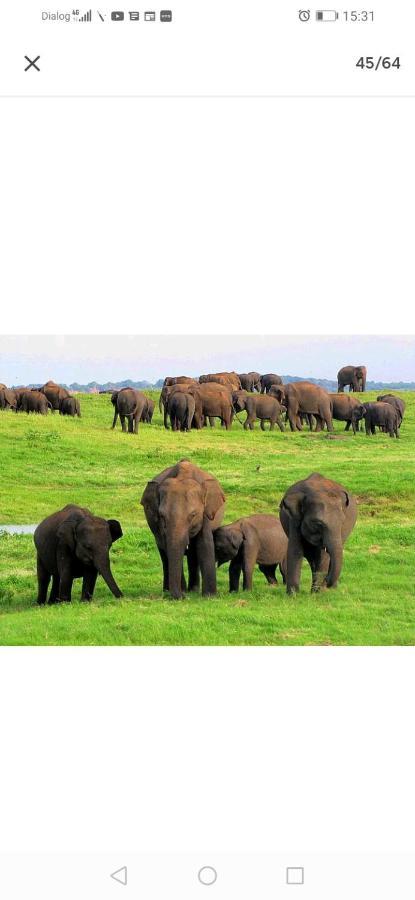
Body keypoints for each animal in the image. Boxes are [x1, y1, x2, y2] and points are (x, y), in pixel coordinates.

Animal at [143, 460, 228, 600]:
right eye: (162, 516)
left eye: (193, 515)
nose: (182, 596)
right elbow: (167, 547)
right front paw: (182, 592)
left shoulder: (205, 513)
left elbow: (204, 544)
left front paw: (209, 596)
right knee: (163, 553)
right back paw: (170, 590)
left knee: (193, 552)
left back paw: (193, 590)